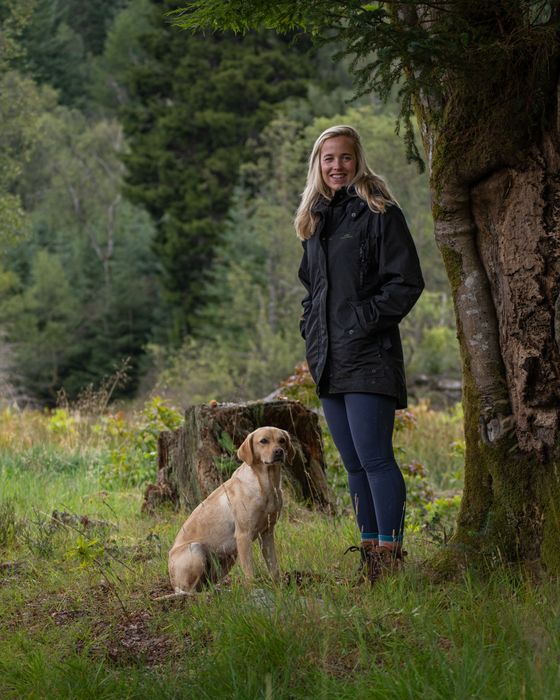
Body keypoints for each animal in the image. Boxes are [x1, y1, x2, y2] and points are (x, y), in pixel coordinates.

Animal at [168, 424, 296, 592]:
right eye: (263, 441)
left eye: (282, 440)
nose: (279, 452)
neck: (266, 485)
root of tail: (172, 580)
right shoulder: (243, 535)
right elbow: (249, 571)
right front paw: (252, 590)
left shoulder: (267, 533)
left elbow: (273, 566)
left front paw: (279, 588)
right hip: (196, 549)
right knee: (190, 591)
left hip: (228, 558)